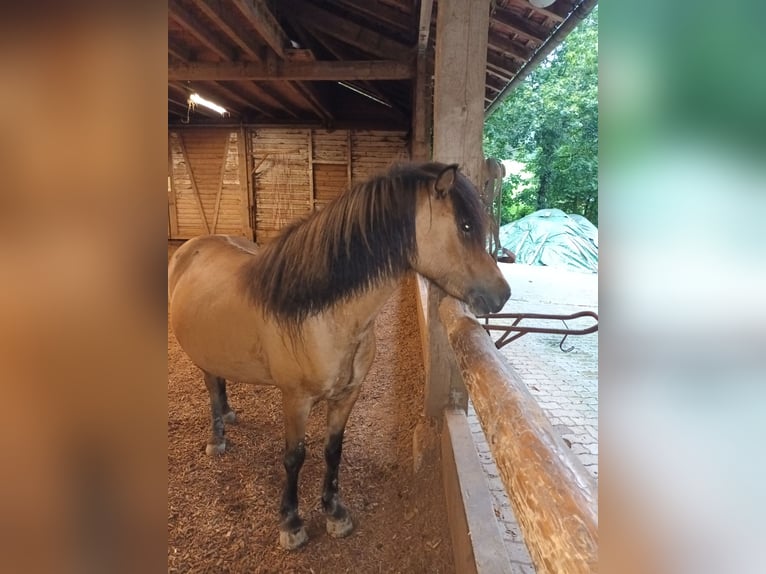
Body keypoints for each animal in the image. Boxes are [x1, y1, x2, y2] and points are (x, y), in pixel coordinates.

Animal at [171, 161, 512, 548]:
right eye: (465, 226)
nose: (502, 294)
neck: (323, 315)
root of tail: (192, 246)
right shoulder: (296, 399)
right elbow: (294, 457)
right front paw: (291, 524)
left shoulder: (348, 394)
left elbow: (333, 450)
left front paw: (335, 513)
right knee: (211, 384)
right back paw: (217, 437)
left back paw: (229, 415)